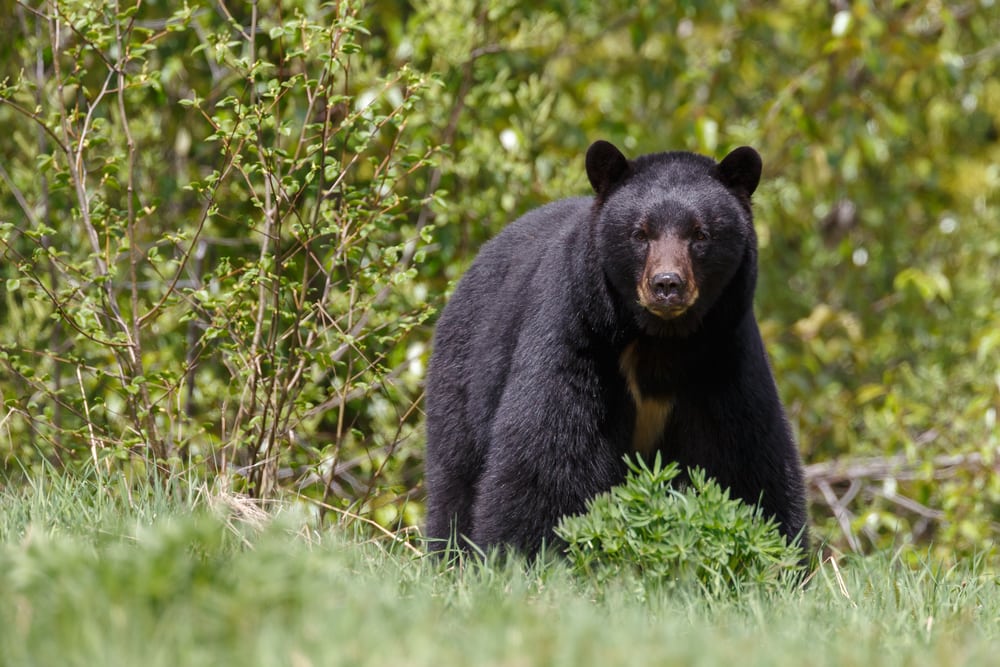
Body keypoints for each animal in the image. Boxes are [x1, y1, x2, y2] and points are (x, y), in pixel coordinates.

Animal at [424, 139, 808, 557]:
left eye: (700, 234)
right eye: (640, 233)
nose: (667, 284)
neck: (661, 340)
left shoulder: (722, 356)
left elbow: (744, 458)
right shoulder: (578, 334)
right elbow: (549, 453)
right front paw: (522, 554)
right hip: (464, 373)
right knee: (455, 475)